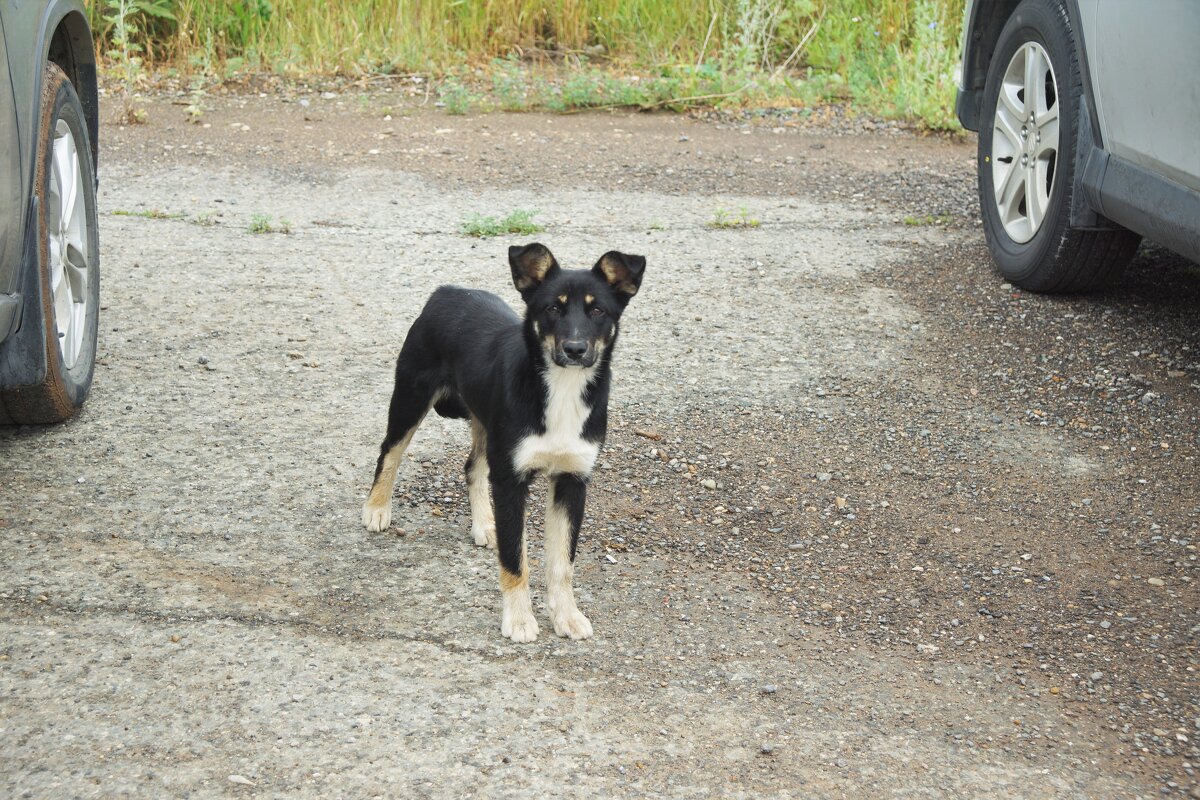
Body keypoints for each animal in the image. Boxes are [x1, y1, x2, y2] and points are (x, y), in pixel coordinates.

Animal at [360, 242, 648, 642]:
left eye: (597, 310)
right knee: (390, 451)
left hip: (486, 423)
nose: (575, 349)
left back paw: (484, 524)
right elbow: (515, 559)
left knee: (473, 466)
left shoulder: (572, 480)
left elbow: (562, 562)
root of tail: (447, 291)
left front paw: (566, 615)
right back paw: (377, 508)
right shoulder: (511, 480)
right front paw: (519, 619)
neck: (560, 389)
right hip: (411, 396)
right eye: (552, 308)